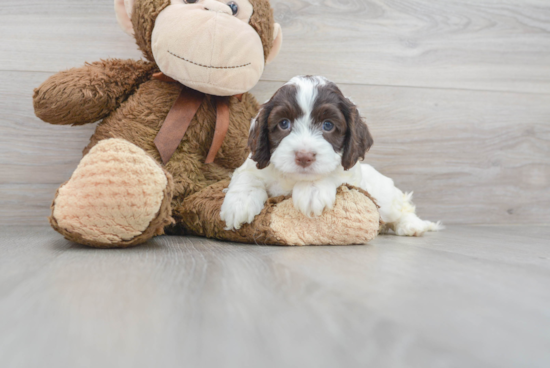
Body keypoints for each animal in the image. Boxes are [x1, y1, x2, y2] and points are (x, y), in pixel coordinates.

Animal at [221, 75, 444, 236]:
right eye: (284, 123)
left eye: (328, 125)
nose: (304, 156)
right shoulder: (253, 164)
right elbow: (247, 176)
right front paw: (238, 204)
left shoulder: (352, 174)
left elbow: (332, 174)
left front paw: (311, 191)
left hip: (385, 197)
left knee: (402, 209)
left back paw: (412, 226)